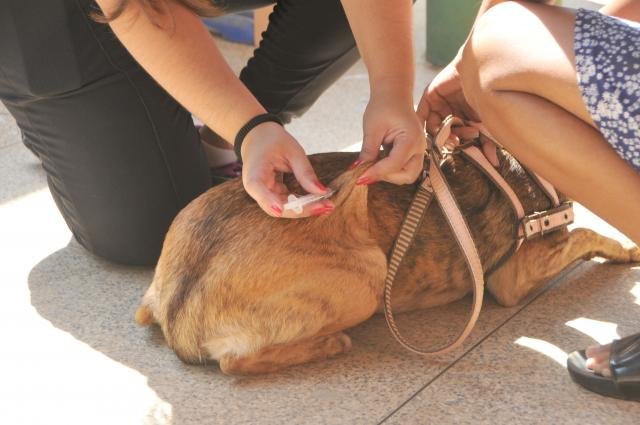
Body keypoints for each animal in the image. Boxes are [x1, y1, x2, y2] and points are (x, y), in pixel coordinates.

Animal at [132, 150, 636, 374]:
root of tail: (175, 311)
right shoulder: (515, 276)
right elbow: (588, 234)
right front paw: (627, 248)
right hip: (369, 277)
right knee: (233, 363)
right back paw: (328, 345)